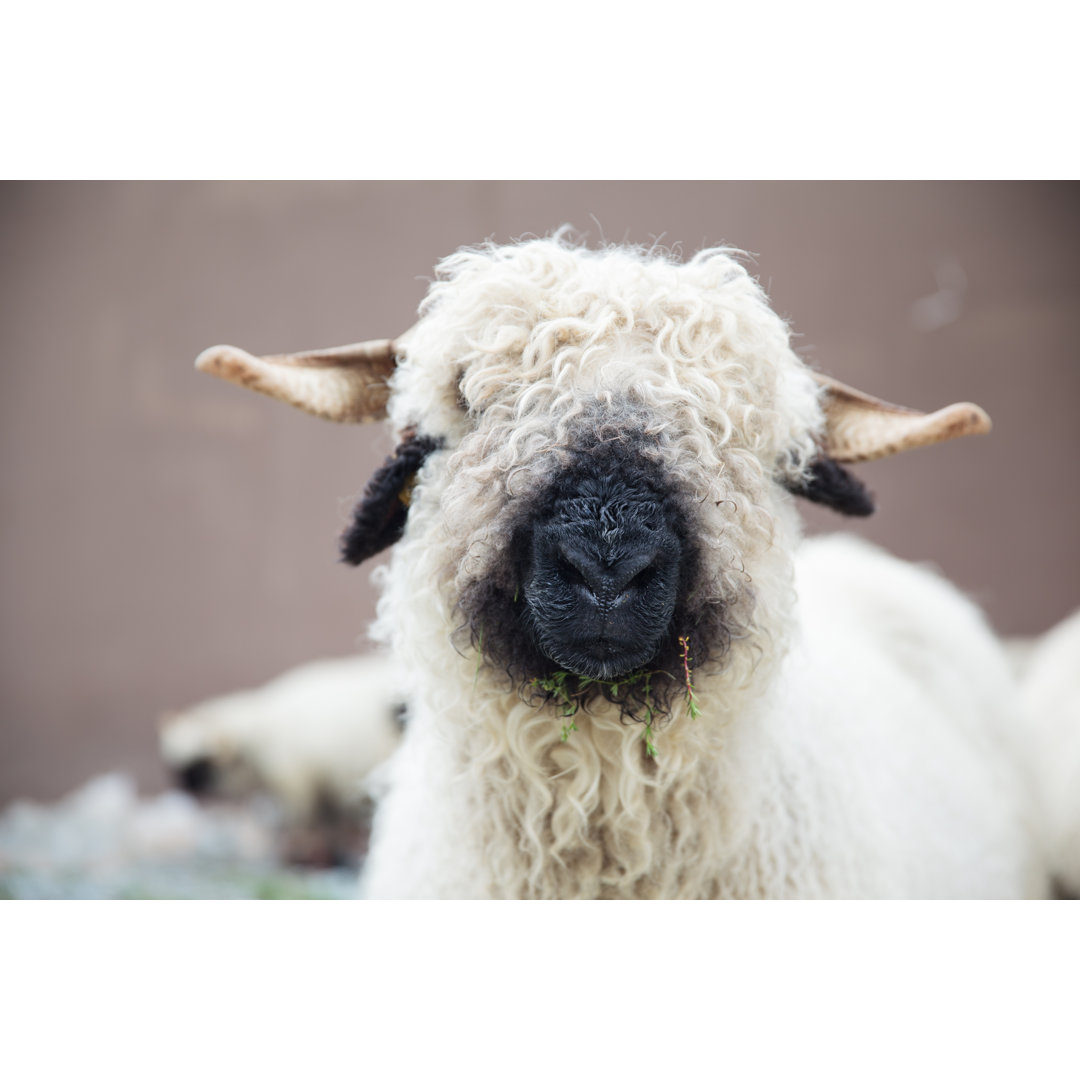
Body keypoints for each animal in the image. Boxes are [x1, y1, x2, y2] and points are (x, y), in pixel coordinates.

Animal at [156, 648, 401, 868]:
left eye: (202, 765)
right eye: (175, 765)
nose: (187, 790)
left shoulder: (297, 785)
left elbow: (303, 825)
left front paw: (304, 857)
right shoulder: (323, 789)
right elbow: (326, 825)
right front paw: (324, 857)